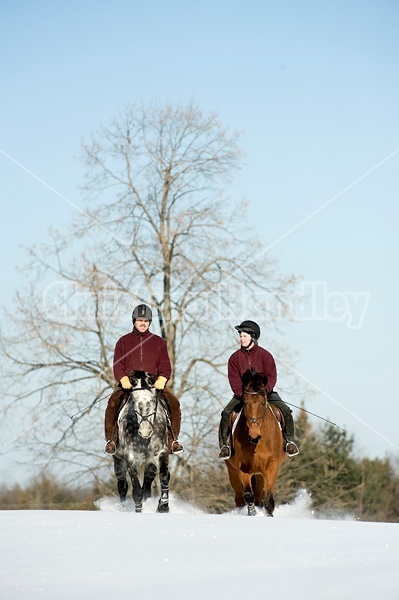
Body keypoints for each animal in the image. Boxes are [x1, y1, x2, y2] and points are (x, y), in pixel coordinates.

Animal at [227, 368, 286, 516]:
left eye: (263, 403)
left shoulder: (272, 467)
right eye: (245, 403)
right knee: (240, 498)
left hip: (259, 475)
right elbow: (248, 495)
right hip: (232, 471)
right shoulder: (242, 468)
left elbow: (268, 500)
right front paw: (252, 514)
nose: (254, 436)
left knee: (259, 497)